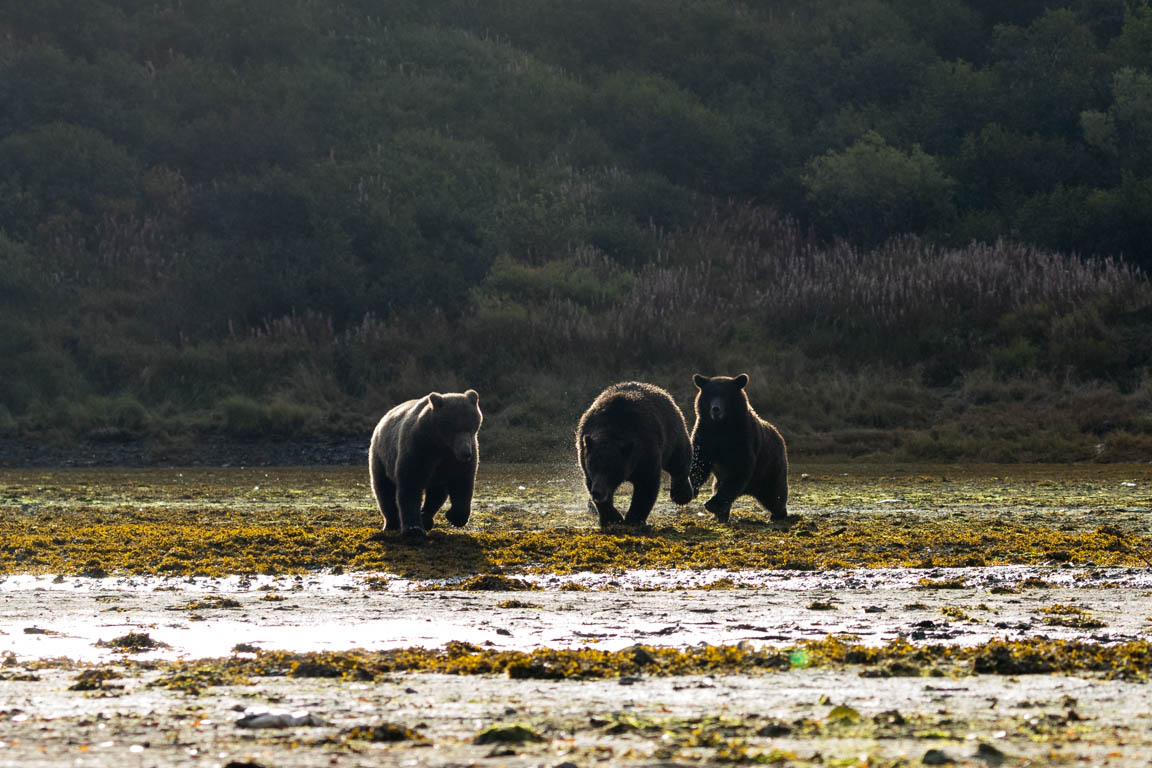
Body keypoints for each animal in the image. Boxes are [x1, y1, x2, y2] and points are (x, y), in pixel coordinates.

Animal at [366, 386, 479, 543]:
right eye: (452, 427)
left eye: (471, 426)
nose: (466, 453)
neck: (441, 445)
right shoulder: (418, 448)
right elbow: (410, 485)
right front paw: (413, 529)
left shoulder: (454, 459)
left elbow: (462, 482)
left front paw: (454, 516)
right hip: (380, 457)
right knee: (384, 489)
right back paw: (392, 523)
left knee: (436, 493)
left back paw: (426, 518)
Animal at [576, 382, 691, 531]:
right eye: (593, 466)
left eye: (611, 469)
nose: (597, 492)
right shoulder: (586, 457)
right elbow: (591, 484)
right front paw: (612, 518)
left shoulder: (646, 451)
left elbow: (646, 485)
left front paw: (633, 519)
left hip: (671, 431)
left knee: (679, 458)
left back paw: (682, 495)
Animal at [686, 373, 787, 522]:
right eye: (710, 394)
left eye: (726, 394)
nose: (715, 409)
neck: (722, 426)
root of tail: (779, 436)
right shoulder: (705, 435)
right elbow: (699, 462)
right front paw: (691, 488)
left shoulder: (742, 437)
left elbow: (739, 468)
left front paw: (712, 504)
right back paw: (720, 515)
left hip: (769, 468)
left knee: (775, 495)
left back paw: (778, 514)